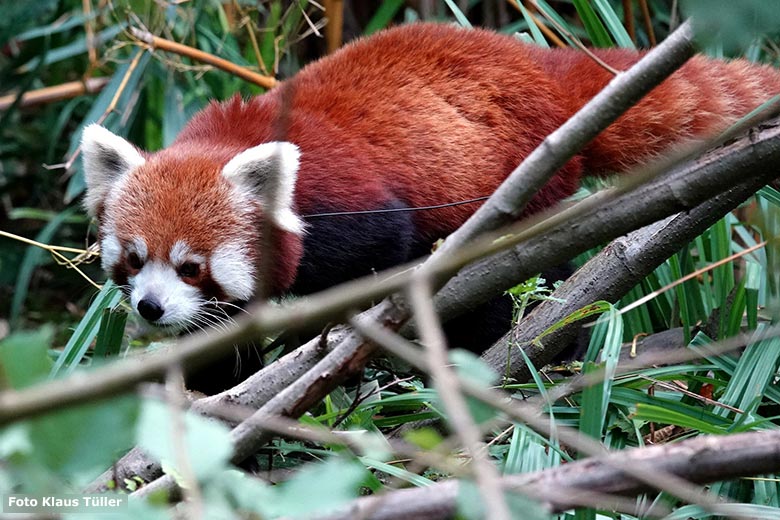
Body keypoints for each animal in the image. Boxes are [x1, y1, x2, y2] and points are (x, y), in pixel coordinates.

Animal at [82, 21, 780, 334]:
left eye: (191, 266)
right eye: (134, 260)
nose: (147, 308)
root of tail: (541, 66)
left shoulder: (349, 207)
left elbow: (382, 252)